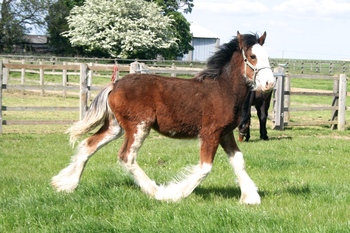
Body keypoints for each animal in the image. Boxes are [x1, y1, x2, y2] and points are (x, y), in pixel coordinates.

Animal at [52, 31, 276, 204]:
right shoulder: (210, 134)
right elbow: (205, 168)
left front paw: (250, 198)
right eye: (252, 56)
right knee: (126, 156)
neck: (223, 89)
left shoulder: (225, 134)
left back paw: (66, 184)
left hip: (115, 127)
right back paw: (155, 191)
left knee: (89, 145)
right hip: (138, 127)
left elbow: (238, 161)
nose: (270, 83)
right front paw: (173, 194)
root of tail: (114, 85)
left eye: (267, 56)